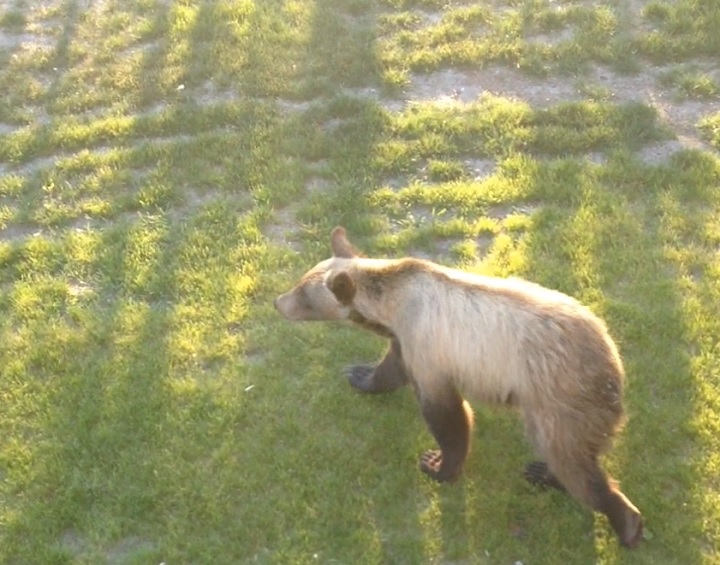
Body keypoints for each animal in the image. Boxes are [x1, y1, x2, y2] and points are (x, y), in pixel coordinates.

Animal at [274, 226, 643, 548]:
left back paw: (624, 521)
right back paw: (543, 472)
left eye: (304, 296)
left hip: (558, 394)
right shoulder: (406, 342)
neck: (392, 306)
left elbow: (447, 414)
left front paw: (436, 463)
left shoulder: (428, 346)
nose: (278, 302)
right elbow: (390, 369)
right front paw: (358, 374)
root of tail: (613, 361)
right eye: (300, 281)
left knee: (572, 458)